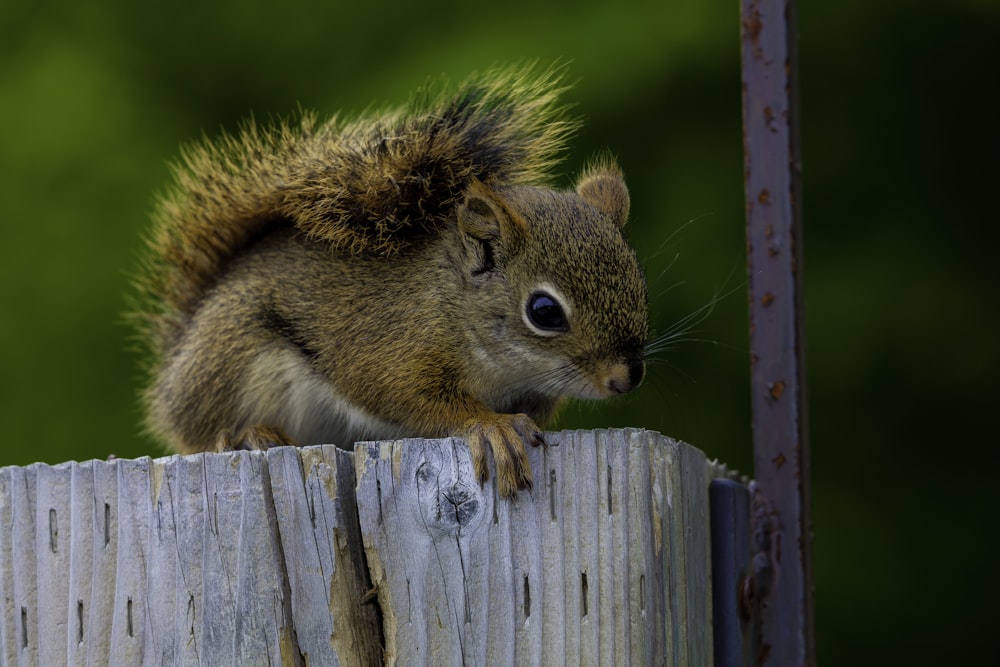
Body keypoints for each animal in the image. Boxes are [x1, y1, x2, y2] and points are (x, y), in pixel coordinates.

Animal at [133, 65, 648, 498]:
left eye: (639, 284)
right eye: (544, 312)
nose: (626, 378)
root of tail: (177, 360)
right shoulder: (388, 350)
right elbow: (412, 399)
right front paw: (491, 426)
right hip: (234, 358)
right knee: (203, 433)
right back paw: (247, 434)